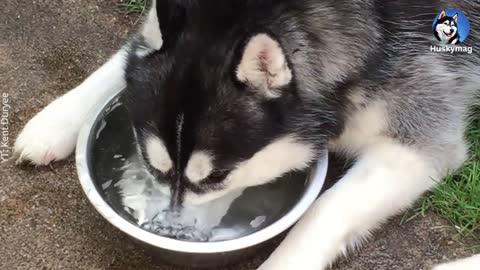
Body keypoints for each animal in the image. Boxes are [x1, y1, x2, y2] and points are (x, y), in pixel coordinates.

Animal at [15, 0, 480, 268]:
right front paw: (56, 120)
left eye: (217, 178)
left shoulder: (417, 138)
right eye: (153, 167)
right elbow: (130, 52)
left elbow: (322, 212)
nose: (172, 234)